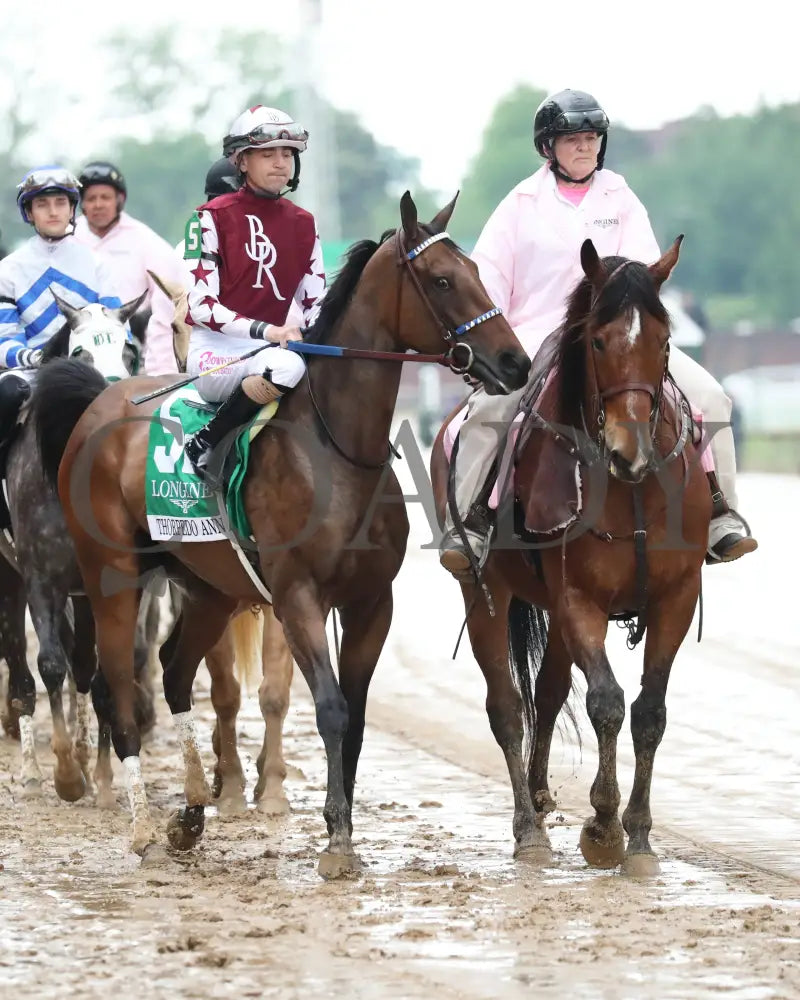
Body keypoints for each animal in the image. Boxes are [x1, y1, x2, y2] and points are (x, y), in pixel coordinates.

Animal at [32, 191, 532, 872]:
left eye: (478, 271)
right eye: (442, 280)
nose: (515, 361)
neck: (336, 451)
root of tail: (97, 405)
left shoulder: (372, 601)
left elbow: (357, 713)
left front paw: (337, 827)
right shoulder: (297, 598)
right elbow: (331, 708)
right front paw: (337, 840)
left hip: (208, 586)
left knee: (174, 670)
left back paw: (191, 814)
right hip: (112, 577)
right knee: (117, 687)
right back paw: (141, 829)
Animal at [432, 236, 712, 876]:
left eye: (663, 339)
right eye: (599, 341)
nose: (631, 449)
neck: (632, 491)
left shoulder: (675, 598)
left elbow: (650, 712)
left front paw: (640, 836)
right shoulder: (579, 599)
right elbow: (607, 702)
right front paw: (604, 826)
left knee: (549, 690)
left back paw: (539, 794)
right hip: (487, 592)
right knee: (508, 707)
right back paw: (528, 829)